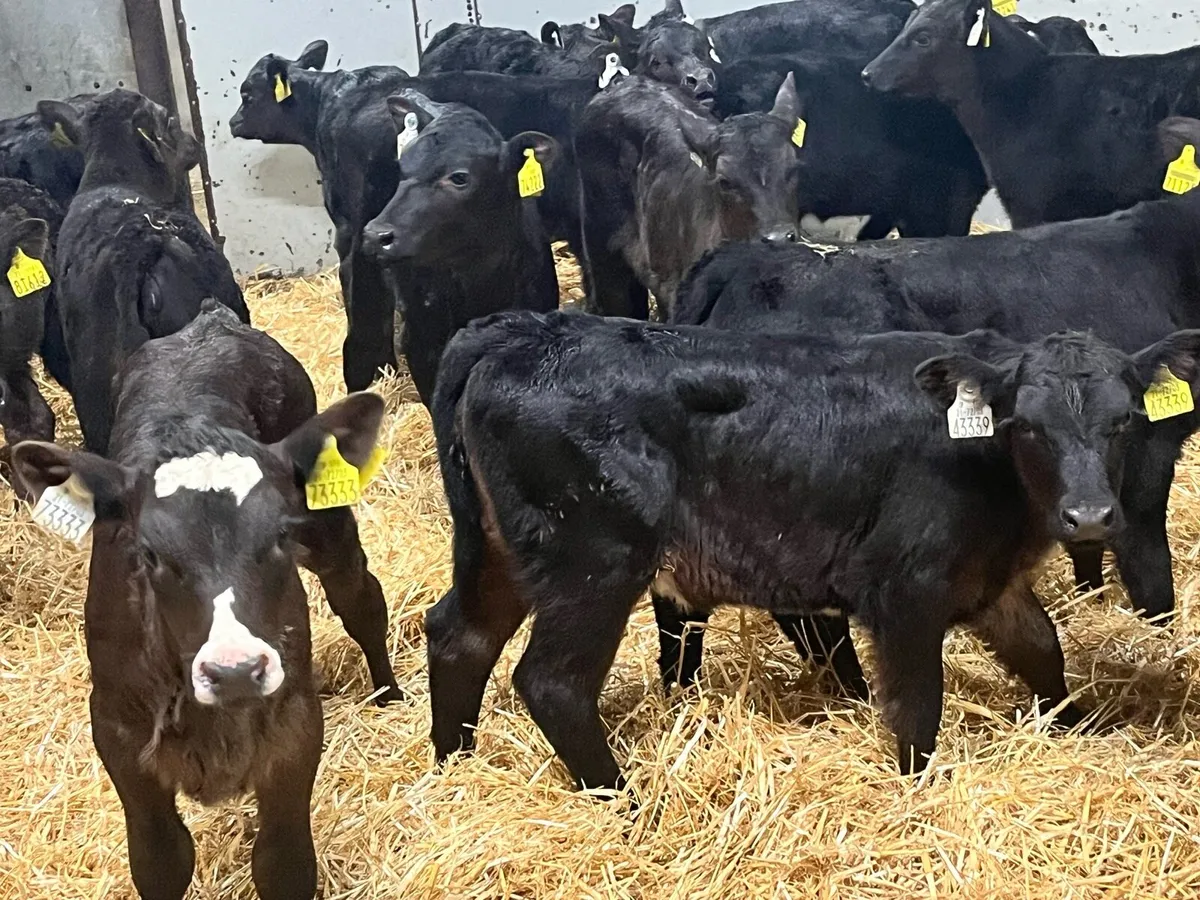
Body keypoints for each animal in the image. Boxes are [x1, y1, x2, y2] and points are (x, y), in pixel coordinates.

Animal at [12, 300, 400, 900]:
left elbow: (284, 864)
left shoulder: (294, 731)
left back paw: (389, 694)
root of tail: (209, 320)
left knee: (362, 599)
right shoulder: (121, 741)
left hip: (330, 527)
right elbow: (162, 861)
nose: (235, 669)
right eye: (148, 553)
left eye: (279, 535)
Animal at [426, 308, 1200, 787]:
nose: (1089, 516)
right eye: (1028, 425)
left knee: (459, 636)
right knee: (552, 682)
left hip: (500, 550)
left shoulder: (990, 583)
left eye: (1124, 421)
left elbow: (1044, 655)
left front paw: (1072, 734)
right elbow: (917, 710)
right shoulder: (904, 591)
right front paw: (915, 794)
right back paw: (626, 802)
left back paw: (451, 768)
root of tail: (519, 330)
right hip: (594, 561)